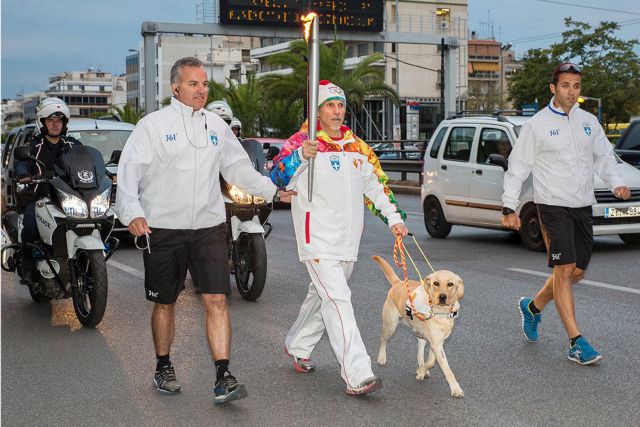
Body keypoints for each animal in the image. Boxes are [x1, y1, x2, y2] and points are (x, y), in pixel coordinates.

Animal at [370, 254, 464, 398]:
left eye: (450, 284)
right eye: (436, 283)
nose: (442, 297)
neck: (440, 313)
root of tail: (398, 282)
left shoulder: (437, 343)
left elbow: (430, 362)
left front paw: (421, 371)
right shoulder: (436, 345)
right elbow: (446, 369)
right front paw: (455, 389)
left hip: (421, 335)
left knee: (419, 353)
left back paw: (421, 367)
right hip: (390, 326)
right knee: (383, 339)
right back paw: (382, 357)